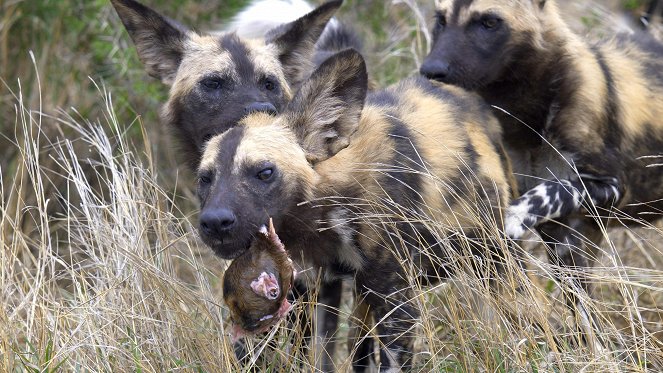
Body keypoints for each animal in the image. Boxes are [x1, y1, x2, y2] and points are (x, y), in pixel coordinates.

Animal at [195, 48, 516, 370]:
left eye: (264, 172)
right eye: (205, 178)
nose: (214, 221)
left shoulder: (394, 300)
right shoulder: (314, 291)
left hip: (493, 259)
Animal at [420, 0, 663, 340]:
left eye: (489, 22)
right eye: (441, 20)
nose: (431, 71)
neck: (529, 115)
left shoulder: (610, 186)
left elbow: (546, 193)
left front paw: (509, 221)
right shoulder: (564, 237)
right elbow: (584, 316)